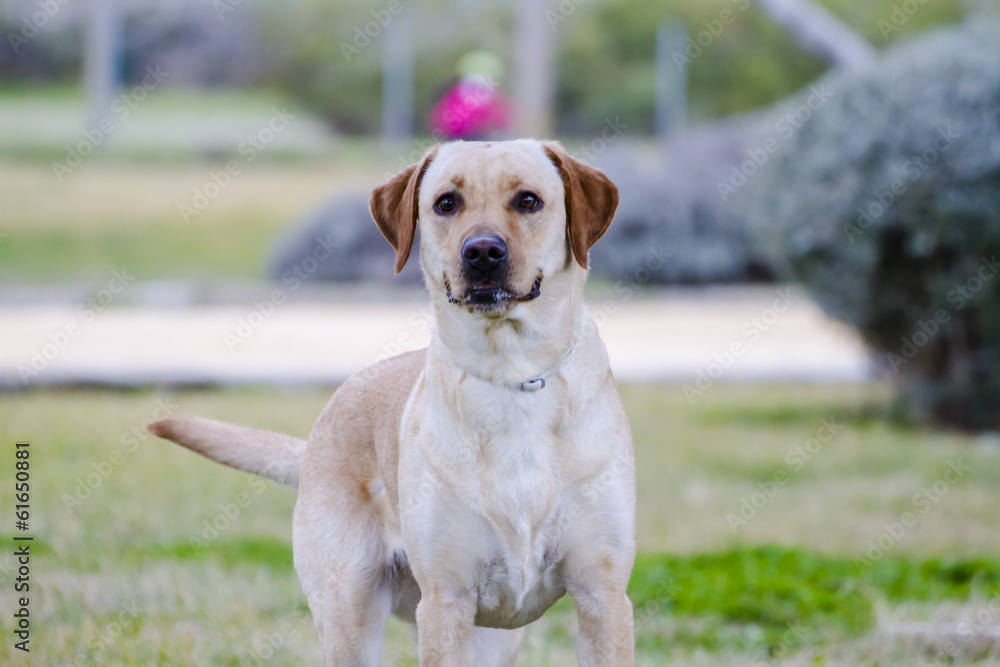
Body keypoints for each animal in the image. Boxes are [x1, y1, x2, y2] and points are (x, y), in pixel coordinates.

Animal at [150, 138, 632, 664]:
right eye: (446, 203)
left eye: (528, 200)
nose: (482, 251)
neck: (512, 376)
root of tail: (317, 434)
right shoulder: (445, 600)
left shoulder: (603, 595)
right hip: (349, 612)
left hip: (494, 640)